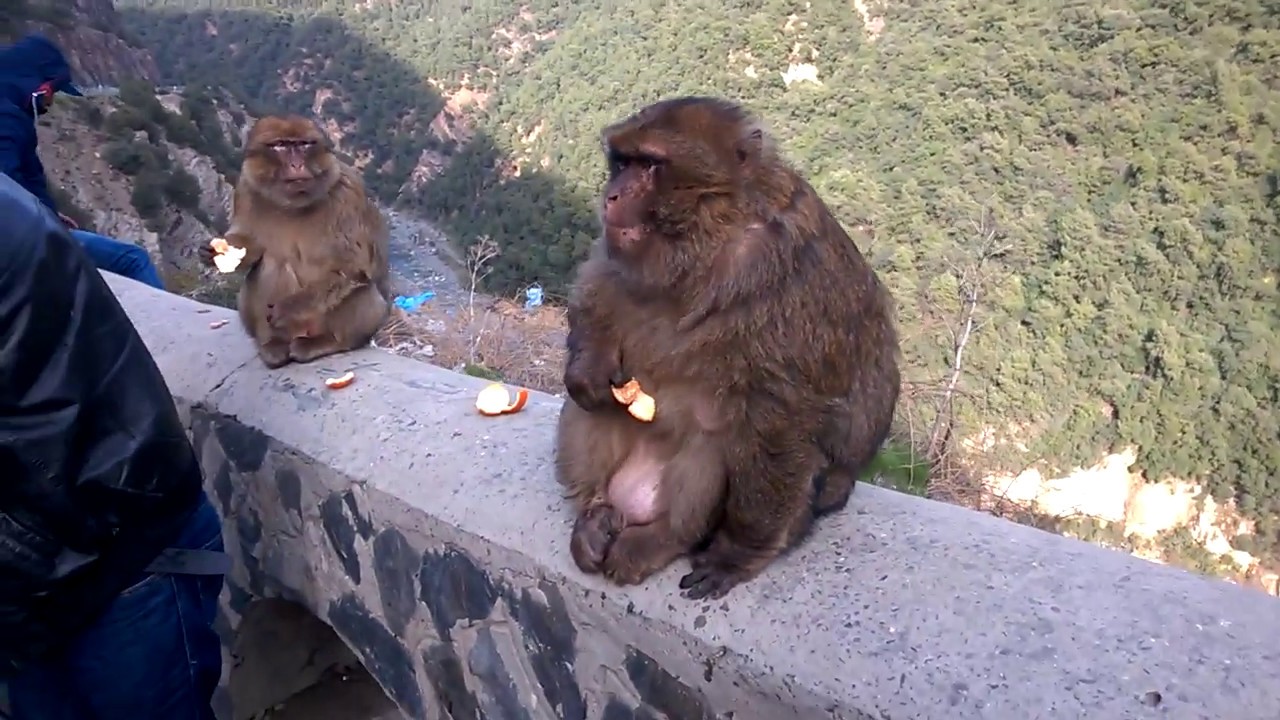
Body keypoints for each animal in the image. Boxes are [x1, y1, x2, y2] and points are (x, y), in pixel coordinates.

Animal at [198, 114, 391, 369]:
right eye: (281, 145)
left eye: (303, 145)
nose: (297, 165)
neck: (292, 202)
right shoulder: (246, 187)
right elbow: (251, 244)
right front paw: (212, 253)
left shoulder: (348, 191)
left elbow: (353, 265)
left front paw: (288, 307)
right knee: (272, 264)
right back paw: (275, 345)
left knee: (362, 287)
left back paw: (327, 342)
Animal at [554, 96, 901, 601]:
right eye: (621, 163)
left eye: (650, 165)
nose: (612, 195)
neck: (709, 234)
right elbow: (602, 280)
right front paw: (588, 365)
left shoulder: (781, 275)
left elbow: (780, 419)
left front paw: (738, 553)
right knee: (589, 409)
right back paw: (594, 516)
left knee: (720, 441)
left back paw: (662, 537)